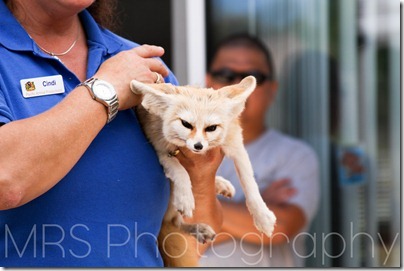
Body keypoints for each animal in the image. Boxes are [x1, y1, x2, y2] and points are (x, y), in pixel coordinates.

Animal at [131, 75, 276, 266]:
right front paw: (185, 197)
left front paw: (262, 216)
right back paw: (196, 227)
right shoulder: (161, 152)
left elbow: (250, 184)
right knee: (173, 222)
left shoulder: (236, 145)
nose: (198, 146)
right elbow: (180, 172)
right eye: (186, 124)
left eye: (211, 128)